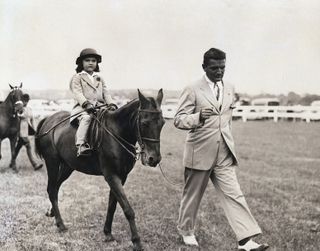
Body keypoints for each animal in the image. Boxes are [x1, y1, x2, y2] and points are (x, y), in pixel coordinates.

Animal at [35, 89, 165, 250]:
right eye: (144, 123)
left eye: (162, 123)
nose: (154, 159)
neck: (117, 132)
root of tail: (48, 119)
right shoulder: (111, 176)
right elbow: (127, 209)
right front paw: (136, 241)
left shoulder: (121, 177)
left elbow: (112, 205)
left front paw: (108, 233)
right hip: (52, 163)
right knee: (51, 189)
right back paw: (61, 224)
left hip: (67, 167)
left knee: (55, 188)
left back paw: (52, 213)